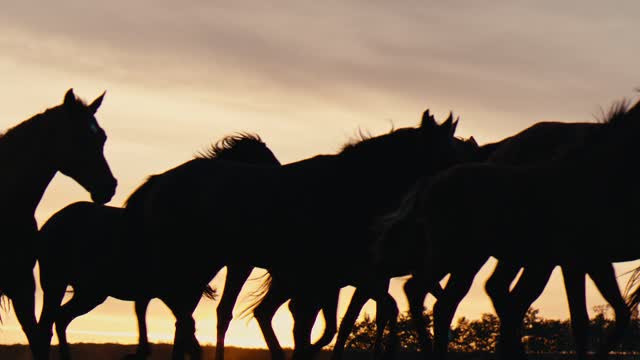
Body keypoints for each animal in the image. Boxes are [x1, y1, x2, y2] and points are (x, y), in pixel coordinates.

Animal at [36, 133, 282, 360]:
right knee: (47, 324)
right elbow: (185, 329)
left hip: (89, 293)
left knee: (60, 319)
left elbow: (183, 330)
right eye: (263, 160)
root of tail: (50, 223)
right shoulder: (170, 291)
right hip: (56, 283)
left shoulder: (185, 293)